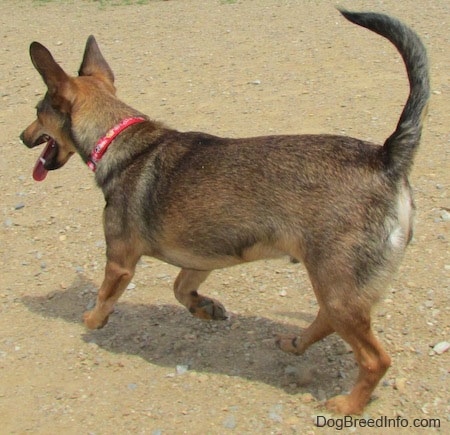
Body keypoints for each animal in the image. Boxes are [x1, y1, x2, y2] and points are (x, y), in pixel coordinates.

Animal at [20, 8, 428, 414]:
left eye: (38, 112)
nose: (22, 137)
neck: (119, 139)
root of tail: (385, 156)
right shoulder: (201, 258)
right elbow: (179, 289)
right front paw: (205, 307)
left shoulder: (120, 262)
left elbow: (105, 296)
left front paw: (92, 320)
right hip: (335, 285)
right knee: (328, 320)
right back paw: (296, 344)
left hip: (338, 286)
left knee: (375, 359)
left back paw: (348, 404)